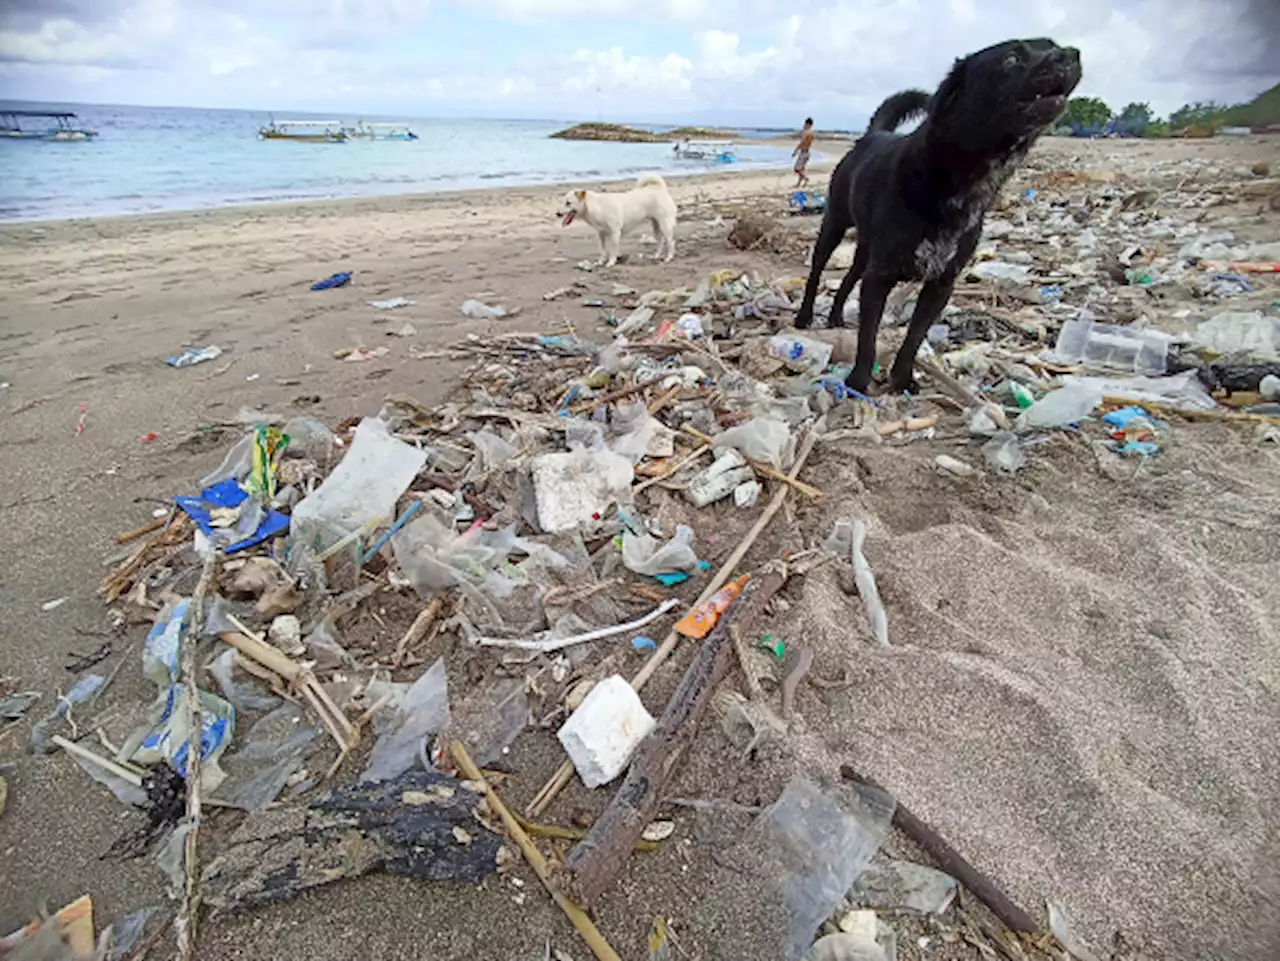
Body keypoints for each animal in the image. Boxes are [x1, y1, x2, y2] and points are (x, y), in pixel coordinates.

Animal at [793, 40, 1085, 394]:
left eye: (1052, 45)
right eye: (1011, 58)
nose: (1071, 54)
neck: (957, 183)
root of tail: (873, 135)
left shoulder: (940, 284)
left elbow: (914, 338)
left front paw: (902, 379)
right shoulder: (880, 278)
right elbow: (868, 338)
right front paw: (859, 382)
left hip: (866, 249)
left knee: (850, 277)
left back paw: (835, 317)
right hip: (835, 226)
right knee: (816, 272)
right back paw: (804, 316)